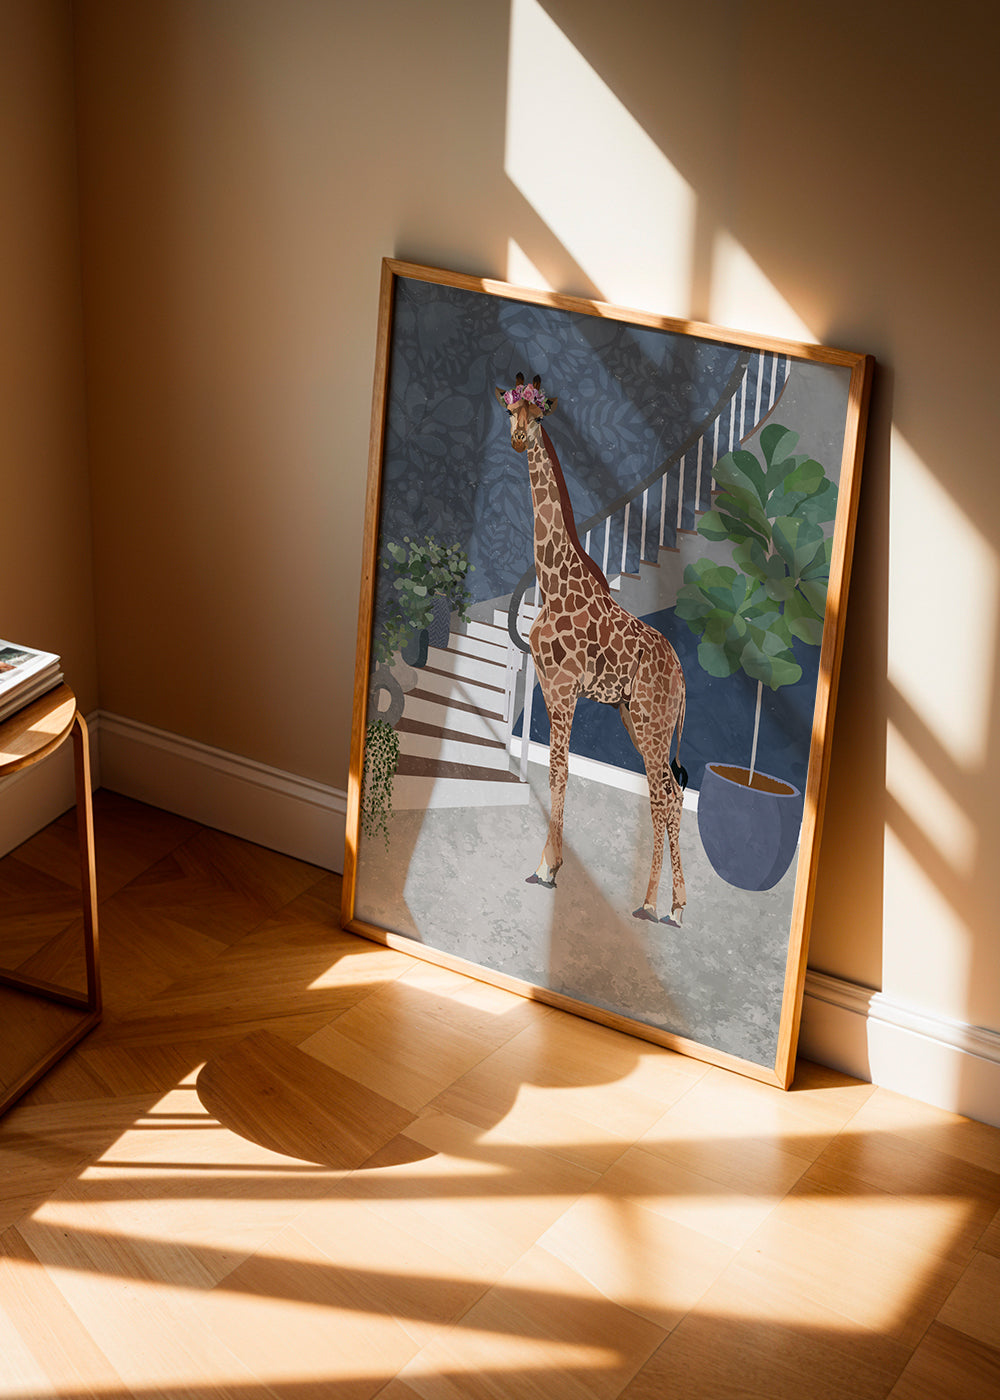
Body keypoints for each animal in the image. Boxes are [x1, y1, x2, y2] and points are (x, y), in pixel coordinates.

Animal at [495, 373, 688, 925]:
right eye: (510, 410)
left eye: (539, 414)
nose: (519, 439)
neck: (553, 581)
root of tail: (683, 676)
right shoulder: (547, 686)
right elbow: (552, 769)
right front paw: (548, 863)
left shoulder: (563, 690)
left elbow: (560, 772)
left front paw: (547, 867)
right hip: (634, 718)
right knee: (668, 792)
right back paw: (672, 904)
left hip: (651, 722)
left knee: (662, 796)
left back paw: (655, 904)